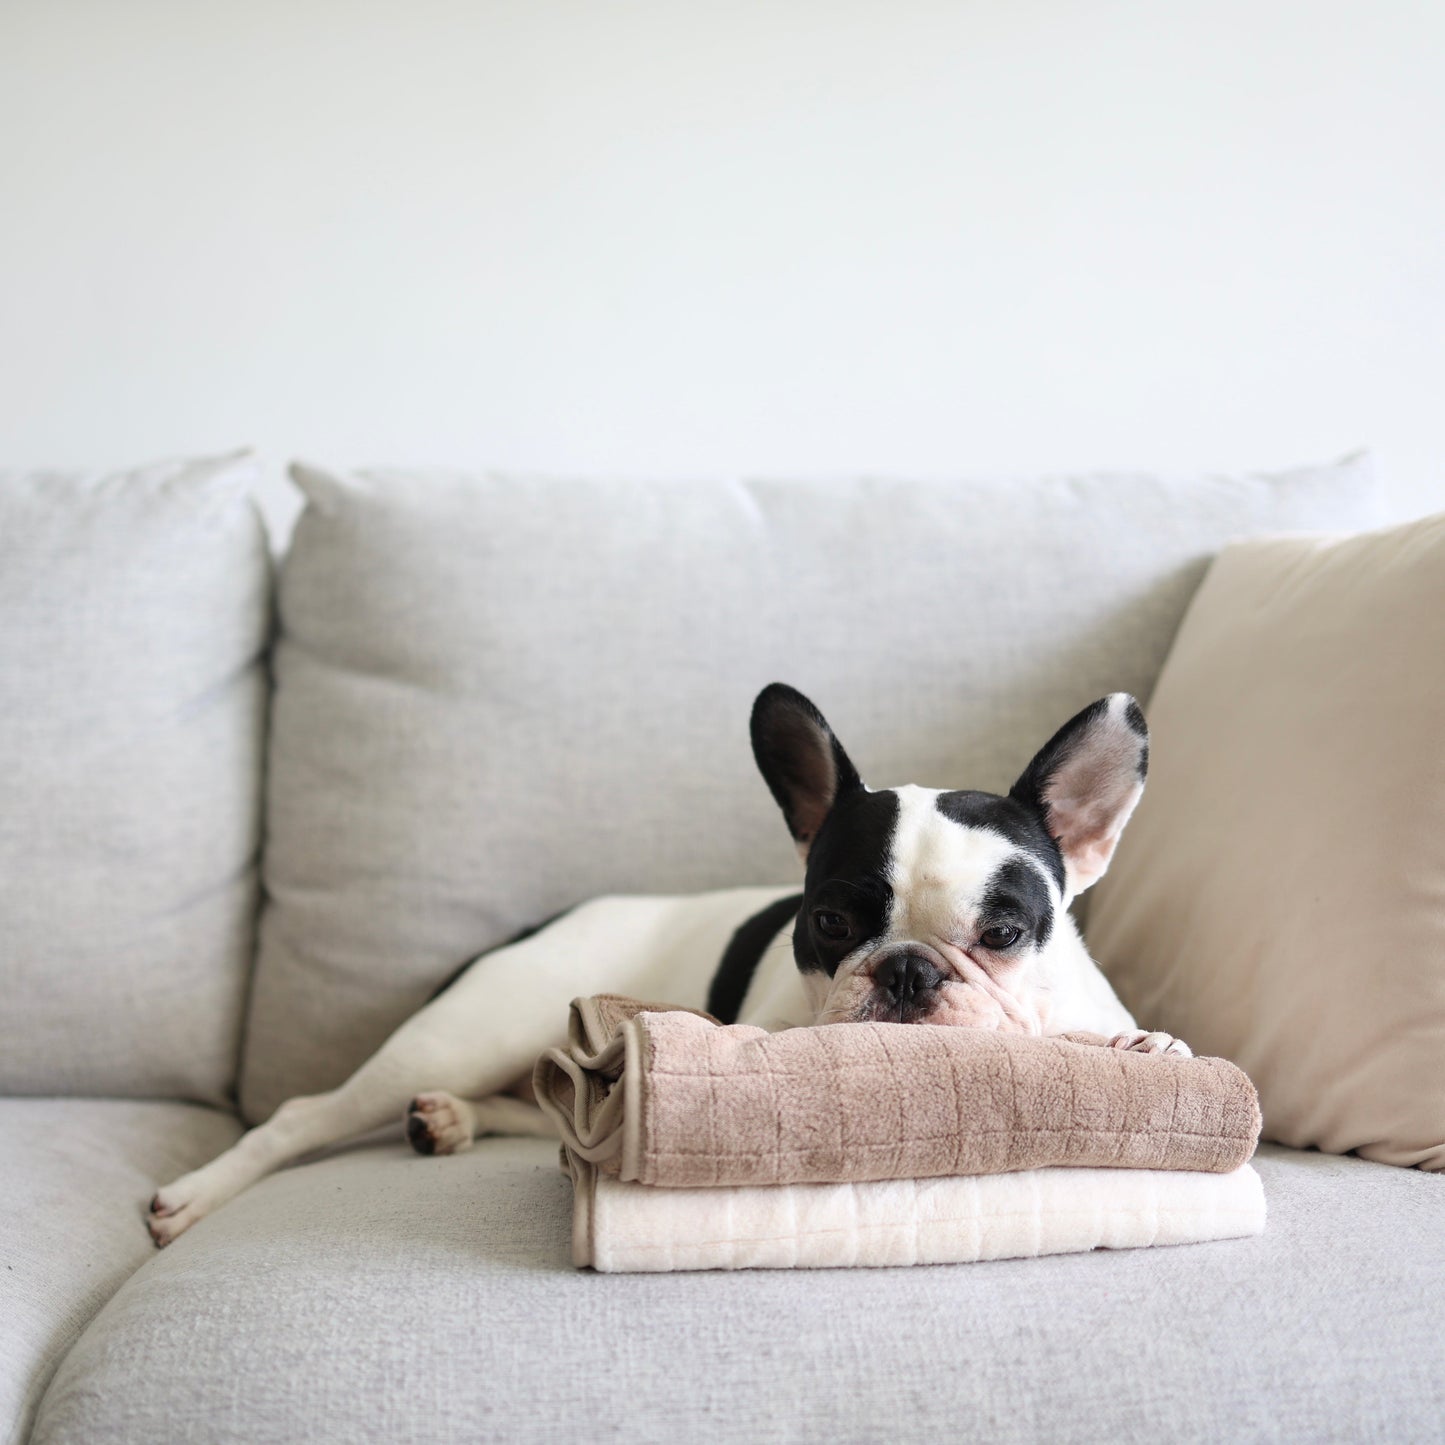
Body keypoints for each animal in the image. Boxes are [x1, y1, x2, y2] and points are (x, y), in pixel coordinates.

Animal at [143, 684, 1184, 1242]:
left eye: (1002, 933)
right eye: (828, 920)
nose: (906, 973)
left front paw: (1145, 1049)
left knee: (544, 1098)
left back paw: (449, 1120)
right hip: (462, 1029)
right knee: (305, 1115)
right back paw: (194, 1198)